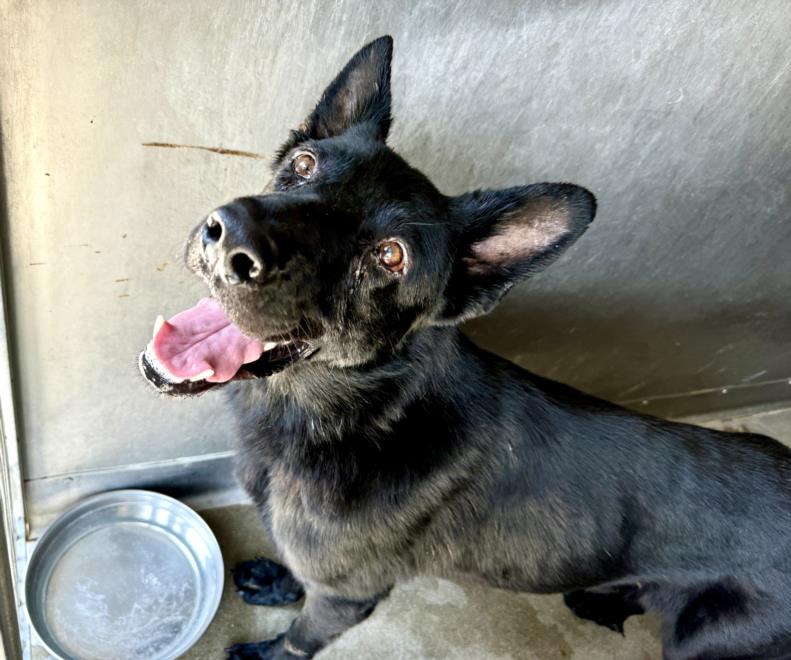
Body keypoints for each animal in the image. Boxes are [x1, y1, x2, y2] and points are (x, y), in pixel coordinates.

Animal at [139, 37, 791, 660]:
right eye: (303, 164)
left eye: (391, 255)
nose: (230, 236)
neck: (364, 415)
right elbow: (298, 578)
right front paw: (278, 584)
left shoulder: (346, 597)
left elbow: (299, 637)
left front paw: (268, 649)